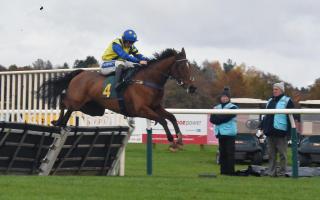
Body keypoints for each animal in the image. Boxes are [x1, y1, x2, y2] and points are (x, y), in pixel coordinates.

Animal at [38, 48, 196, 150]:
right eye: (182, 67)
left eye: (190, 67)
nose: (192, 88)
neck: (147, 80)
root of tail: (80, 73)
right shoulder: (141, 109)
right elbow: (162, 120)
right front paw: (171, 140)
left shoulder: (155, 107)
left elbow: (172, 117)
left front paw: (180, 139)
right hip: (78, 100)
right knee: (64, 101)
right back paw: (58, 121)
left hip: (94, 108)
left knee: (68, 106)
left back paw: (61, 122)